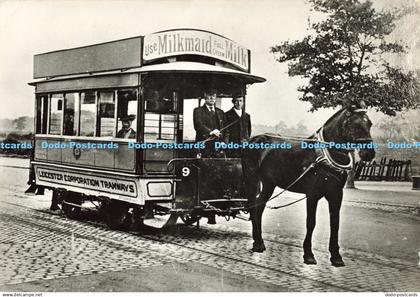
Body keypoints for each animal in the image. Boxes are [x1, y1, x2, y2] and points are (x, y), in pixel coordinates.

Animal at [241, 102, 376, 266]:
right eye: (353, 124)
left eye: (369, 123)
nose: (368, 153)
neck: (325, 155)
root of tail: (253, 140)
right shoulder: (312, 194)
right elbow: (311, 222)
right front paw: (308, 254)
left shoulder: (336, 194)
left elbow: (335, 223)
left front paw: (336, 256)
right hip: (252, 179)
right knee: (253, 205)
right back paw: (257, 243)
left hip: (269, 183)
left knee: (259, 206)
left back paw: (259, 242)